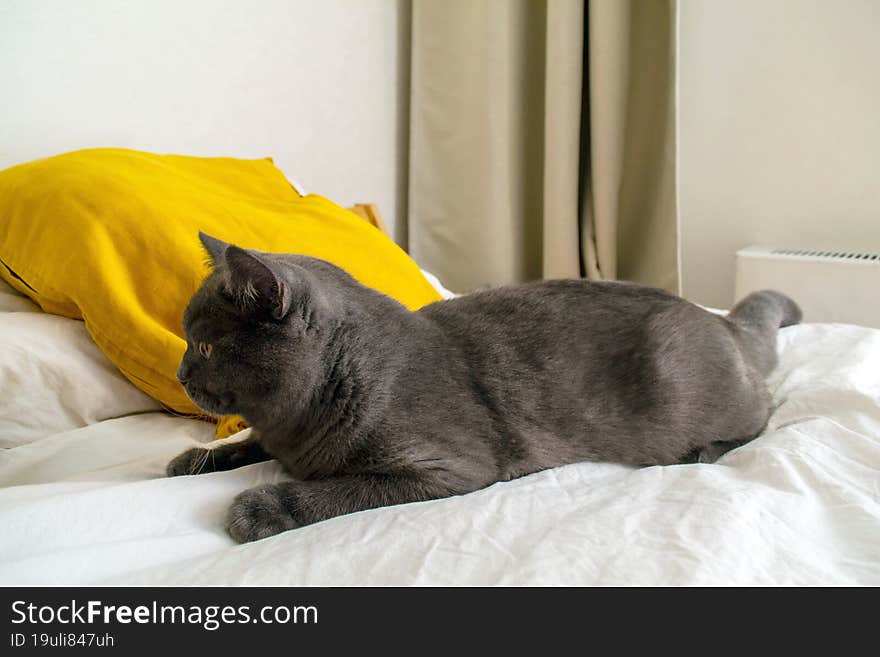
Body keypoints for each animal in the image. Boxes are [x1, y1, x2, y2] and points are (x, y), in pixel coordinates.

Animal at [168, 233, 800, 540]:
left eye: (204, 347)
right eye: (187, 340)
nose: (180, 373)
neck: (297, 421)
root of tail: (724, 321)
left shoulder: (446, 469)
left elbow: (336, 490)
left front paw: (260, 507)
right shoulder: (273, 436)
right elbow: (246, 443)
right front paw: (192, 460)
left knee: (767, 411)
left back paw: (703, 451)